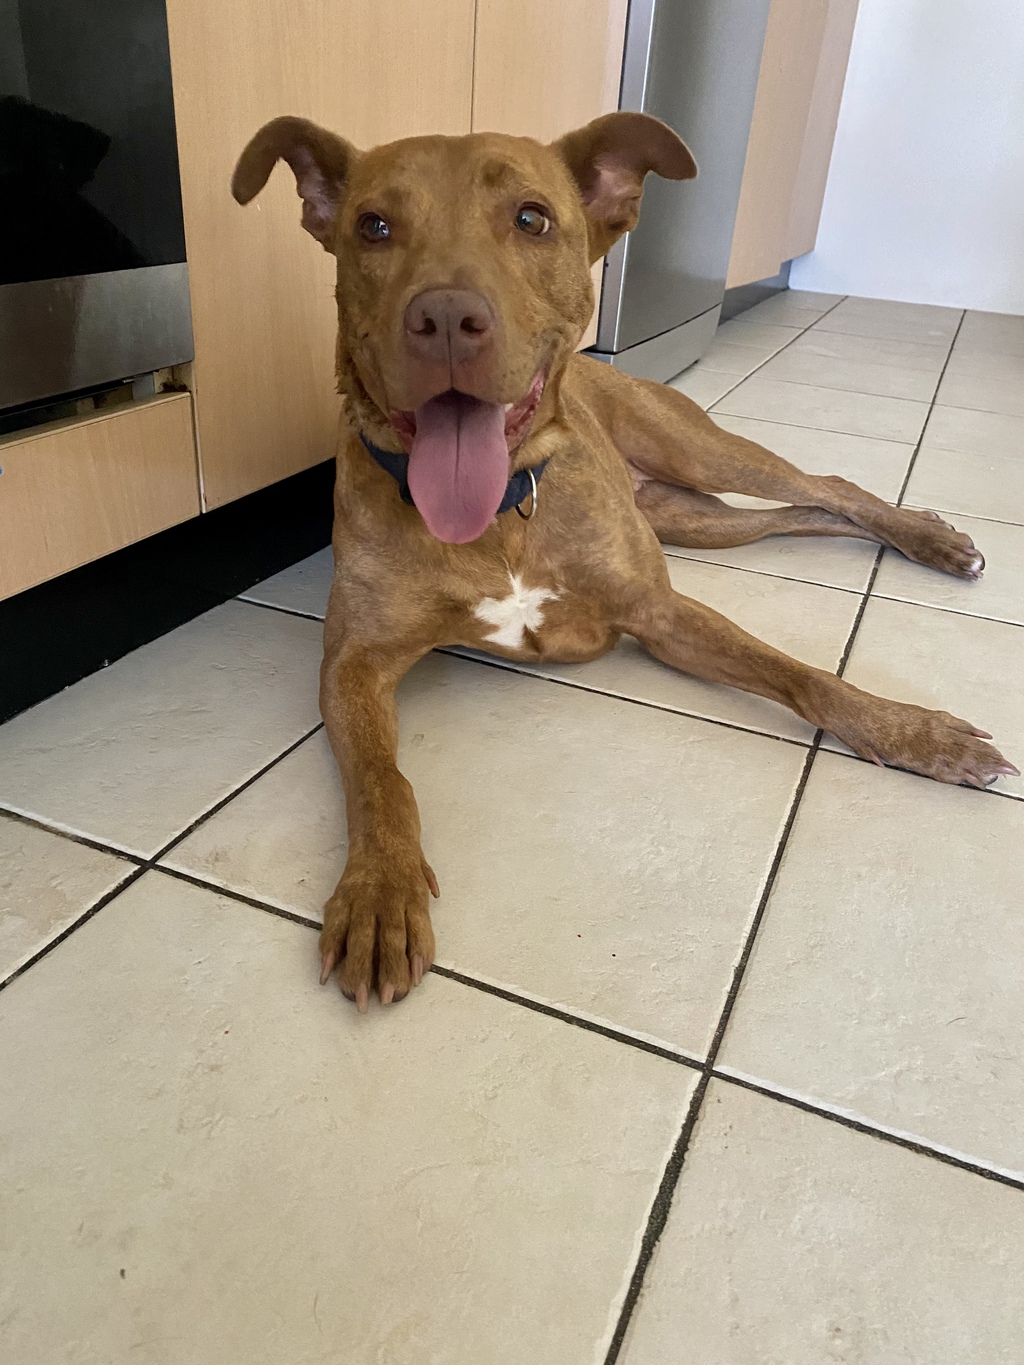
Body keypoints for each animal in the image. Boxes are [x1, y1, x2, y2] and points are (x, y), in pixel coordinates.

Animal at [232, 112, 1017, 1011]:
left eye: (532, 218)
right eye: (374, 227)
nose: (446, 320)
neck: (505, 511)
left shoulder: (662, 614)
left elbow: (804, 675)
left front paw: (918, 734)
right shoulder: (355, 665)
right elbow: (380, 780)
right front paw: (379, 891)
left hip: (700, 452)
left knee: (829, 485)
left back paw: (931, 539)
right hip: (700, 520)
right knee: (806, 513)